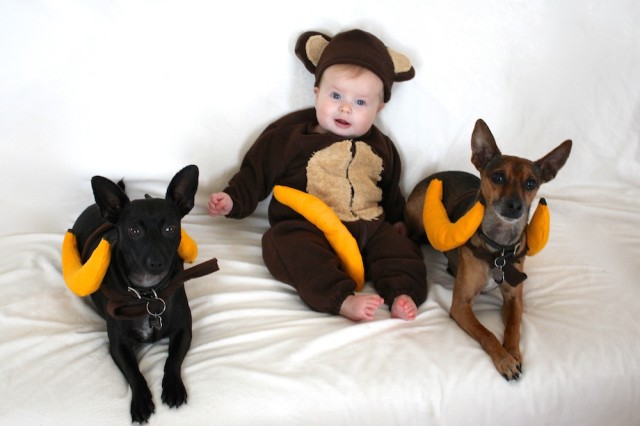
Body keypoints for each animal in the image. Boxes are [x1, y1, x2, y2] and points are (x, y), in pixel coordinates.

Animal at [69, 165, 216, 422]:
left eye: (170, 229)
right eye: (134, 230)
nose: (156, 262)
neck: (148, 294)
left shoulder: (183, 331)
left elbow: (172, 360)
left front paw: (173, 387)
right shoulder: (118, 345)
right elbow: (134, 373)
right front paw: (140, 400)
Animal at [404, 119, 568, 380]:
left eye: (531, 183)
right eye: (498, 177)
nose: (515, 206)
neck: (498, 250)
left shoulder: (514, 297)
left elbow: (513, 327)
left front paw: (513, 353)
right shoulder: (460, 306)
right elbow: (487, 333)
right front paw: (504, 359)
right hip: (419, 221)